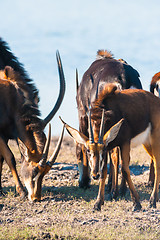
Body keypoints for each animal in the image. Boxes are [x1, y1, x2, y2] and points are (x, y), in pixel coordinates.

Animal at [0, 39, 65, 201]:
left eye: (46, 172)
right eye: (35, 171)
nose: (36, 197)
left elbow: (1, 158)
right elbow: (10, 157)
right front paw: (22, 191)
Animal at [61, 83, 160, 211]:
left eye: (102, 150)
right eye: (88, 150)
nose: (94, 175)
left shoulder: (124, 143)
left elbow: (124, 169)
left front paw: (137, 203)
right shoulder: (110, 147)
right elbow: (104, 171)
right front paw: (98, 203)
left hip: (154, 138)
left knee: (157, 165)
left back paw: (152, 201)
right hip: (147, 143)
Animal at [75, 49, 142, 199]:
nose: (82, 183)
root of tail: (123, 77)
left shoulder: (86, 117)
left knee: (115, 154)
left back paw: (114, 191)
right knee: (124, 154)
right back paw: (121, 189)